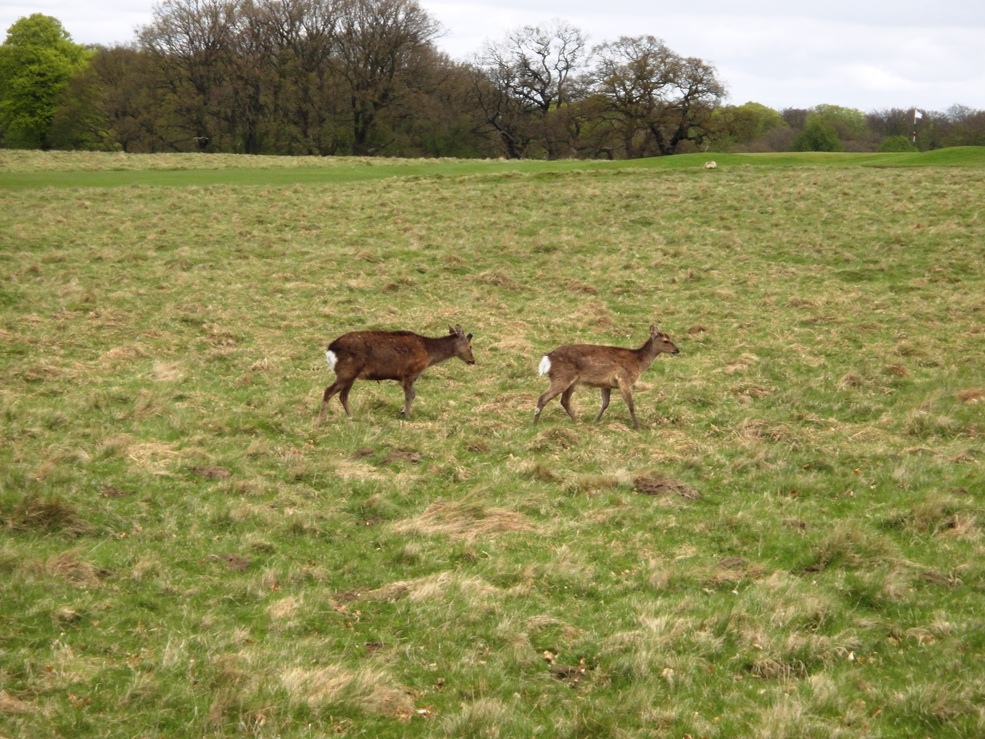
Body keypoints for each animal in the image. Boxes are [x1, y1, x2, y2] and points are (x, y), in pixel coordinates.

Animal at [318, 324, 474, 422]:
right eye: (470, 345)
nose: (472, 360)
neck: (428, 353)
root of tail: (330, 349)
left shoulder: (402, 378)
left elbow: (412, 394)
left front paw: (403, 413)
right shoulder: (409, 373)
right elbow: (409, 395)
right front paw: (407, 416)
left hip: (351, 375)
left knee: (343, 396)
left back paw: (352, 417)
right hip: (347, 371)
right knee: (328, 391)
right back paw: (321, 421)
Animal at [536, 326, 680, 430]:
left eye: (669, 337)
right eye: (665, 341)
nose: (677, 350)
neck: (638, 363)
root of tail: (547, 358)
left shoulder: (606, 384)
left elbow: (605, 403)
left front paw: (595, 421)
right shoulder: (624, 379)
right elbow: (630, 404)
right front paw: (638, 427)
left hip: (572, 381)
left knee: (564, 401)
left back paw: (577, 421)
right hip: (562, 377)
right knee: (543, 397)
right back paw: (535, 423)